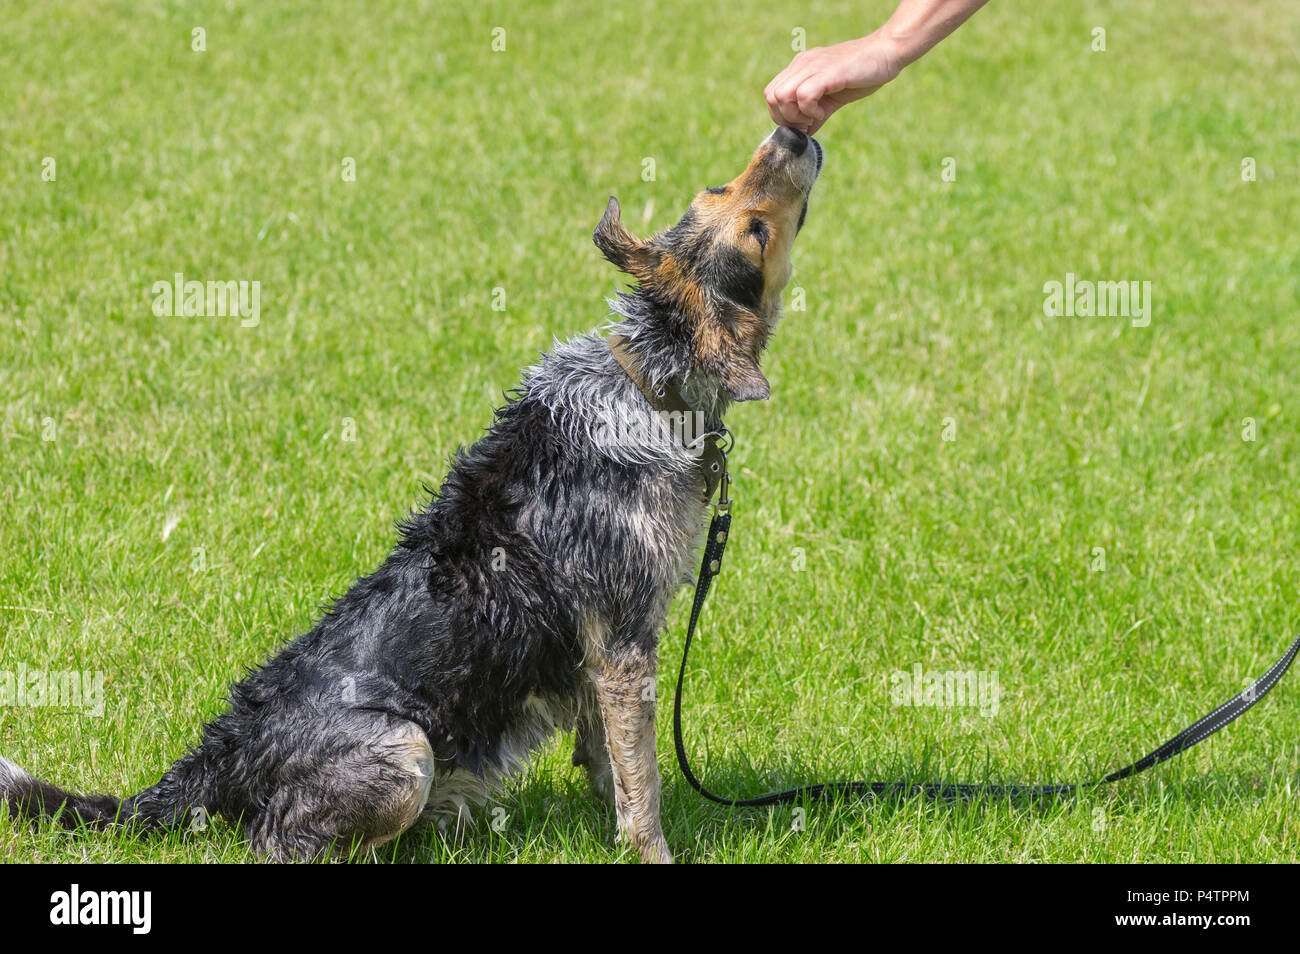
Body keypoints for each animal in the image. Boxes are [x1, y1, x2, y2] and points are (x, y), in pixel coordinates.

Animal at [2, 123, 821, 863]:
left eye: (716, 189)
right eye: (751, 228)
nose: (790, 131)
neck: (648, 385)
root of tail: (215, 759)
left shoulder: (604, 650)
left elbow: (609, 765)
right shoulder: (623, 642)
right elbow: (640, 783)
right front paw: (649, 848)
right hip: (406, 749)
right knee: (282, 842)